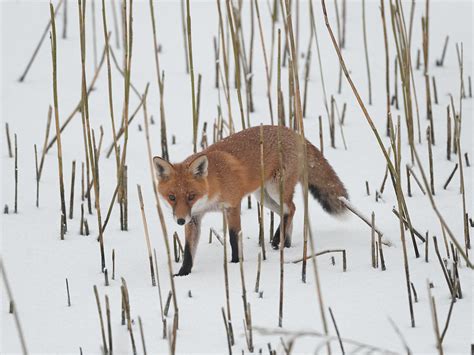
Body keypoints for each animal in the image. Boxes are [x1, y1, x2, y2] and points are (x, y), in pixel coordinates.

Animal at [153, 126, 348, 276]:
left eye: (191, 196)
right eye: (172, 197)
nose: (180, 221)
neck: (214, 184)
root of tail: (292, 132)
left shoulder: (232, 205)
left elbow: (233, 238)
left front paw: (235, 263)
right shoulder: (194, 217)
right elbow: (188, 250)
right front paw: (183, 273)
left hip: (276, 190)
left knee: (291, 209)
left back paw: (277, 240)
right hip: (264, 197)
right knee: (287, 213)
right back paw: (285, 243)